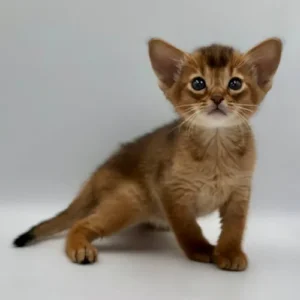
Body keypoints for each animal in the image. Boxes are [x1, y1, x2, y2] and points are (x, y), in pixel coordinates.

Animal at [13, 36, 282, 270]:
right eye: (198, 83)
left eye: (235, 83)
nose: (217, 98)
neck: (216, 147)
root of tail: (97, 174)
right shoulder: (170, 191)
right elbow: (187, 227)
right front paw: (202, 249)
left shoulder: (240, 192)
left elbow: (235, 227)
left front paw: (230, 253)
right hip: (129, 200)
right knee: (80, 223)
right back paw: (79, 247)